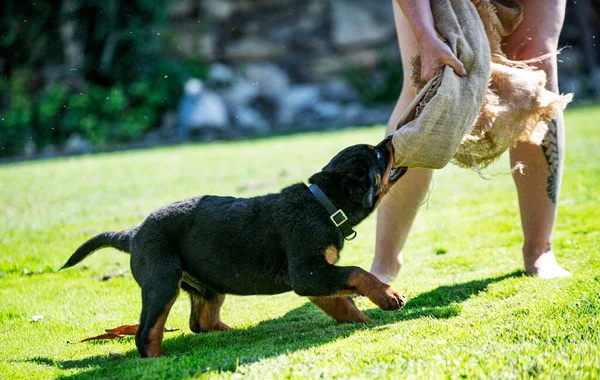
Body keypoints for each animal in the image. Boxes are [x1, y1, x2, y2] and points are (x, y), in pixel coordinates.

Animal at [61, 135, 408, 358]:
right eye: (378, 155)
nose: (391, 137)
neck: (325, 205)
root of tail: (133, 233)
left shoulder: (316, 278)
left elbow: (343, 302)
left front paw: (366, 322)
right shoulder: (307, 272)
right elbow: (356, 272)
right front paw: (388, 295)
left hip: (207, 285)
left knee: (200, 322)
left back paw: (235, 332)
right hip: (163, 280)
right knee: (146, 334)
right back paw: (159, 358)